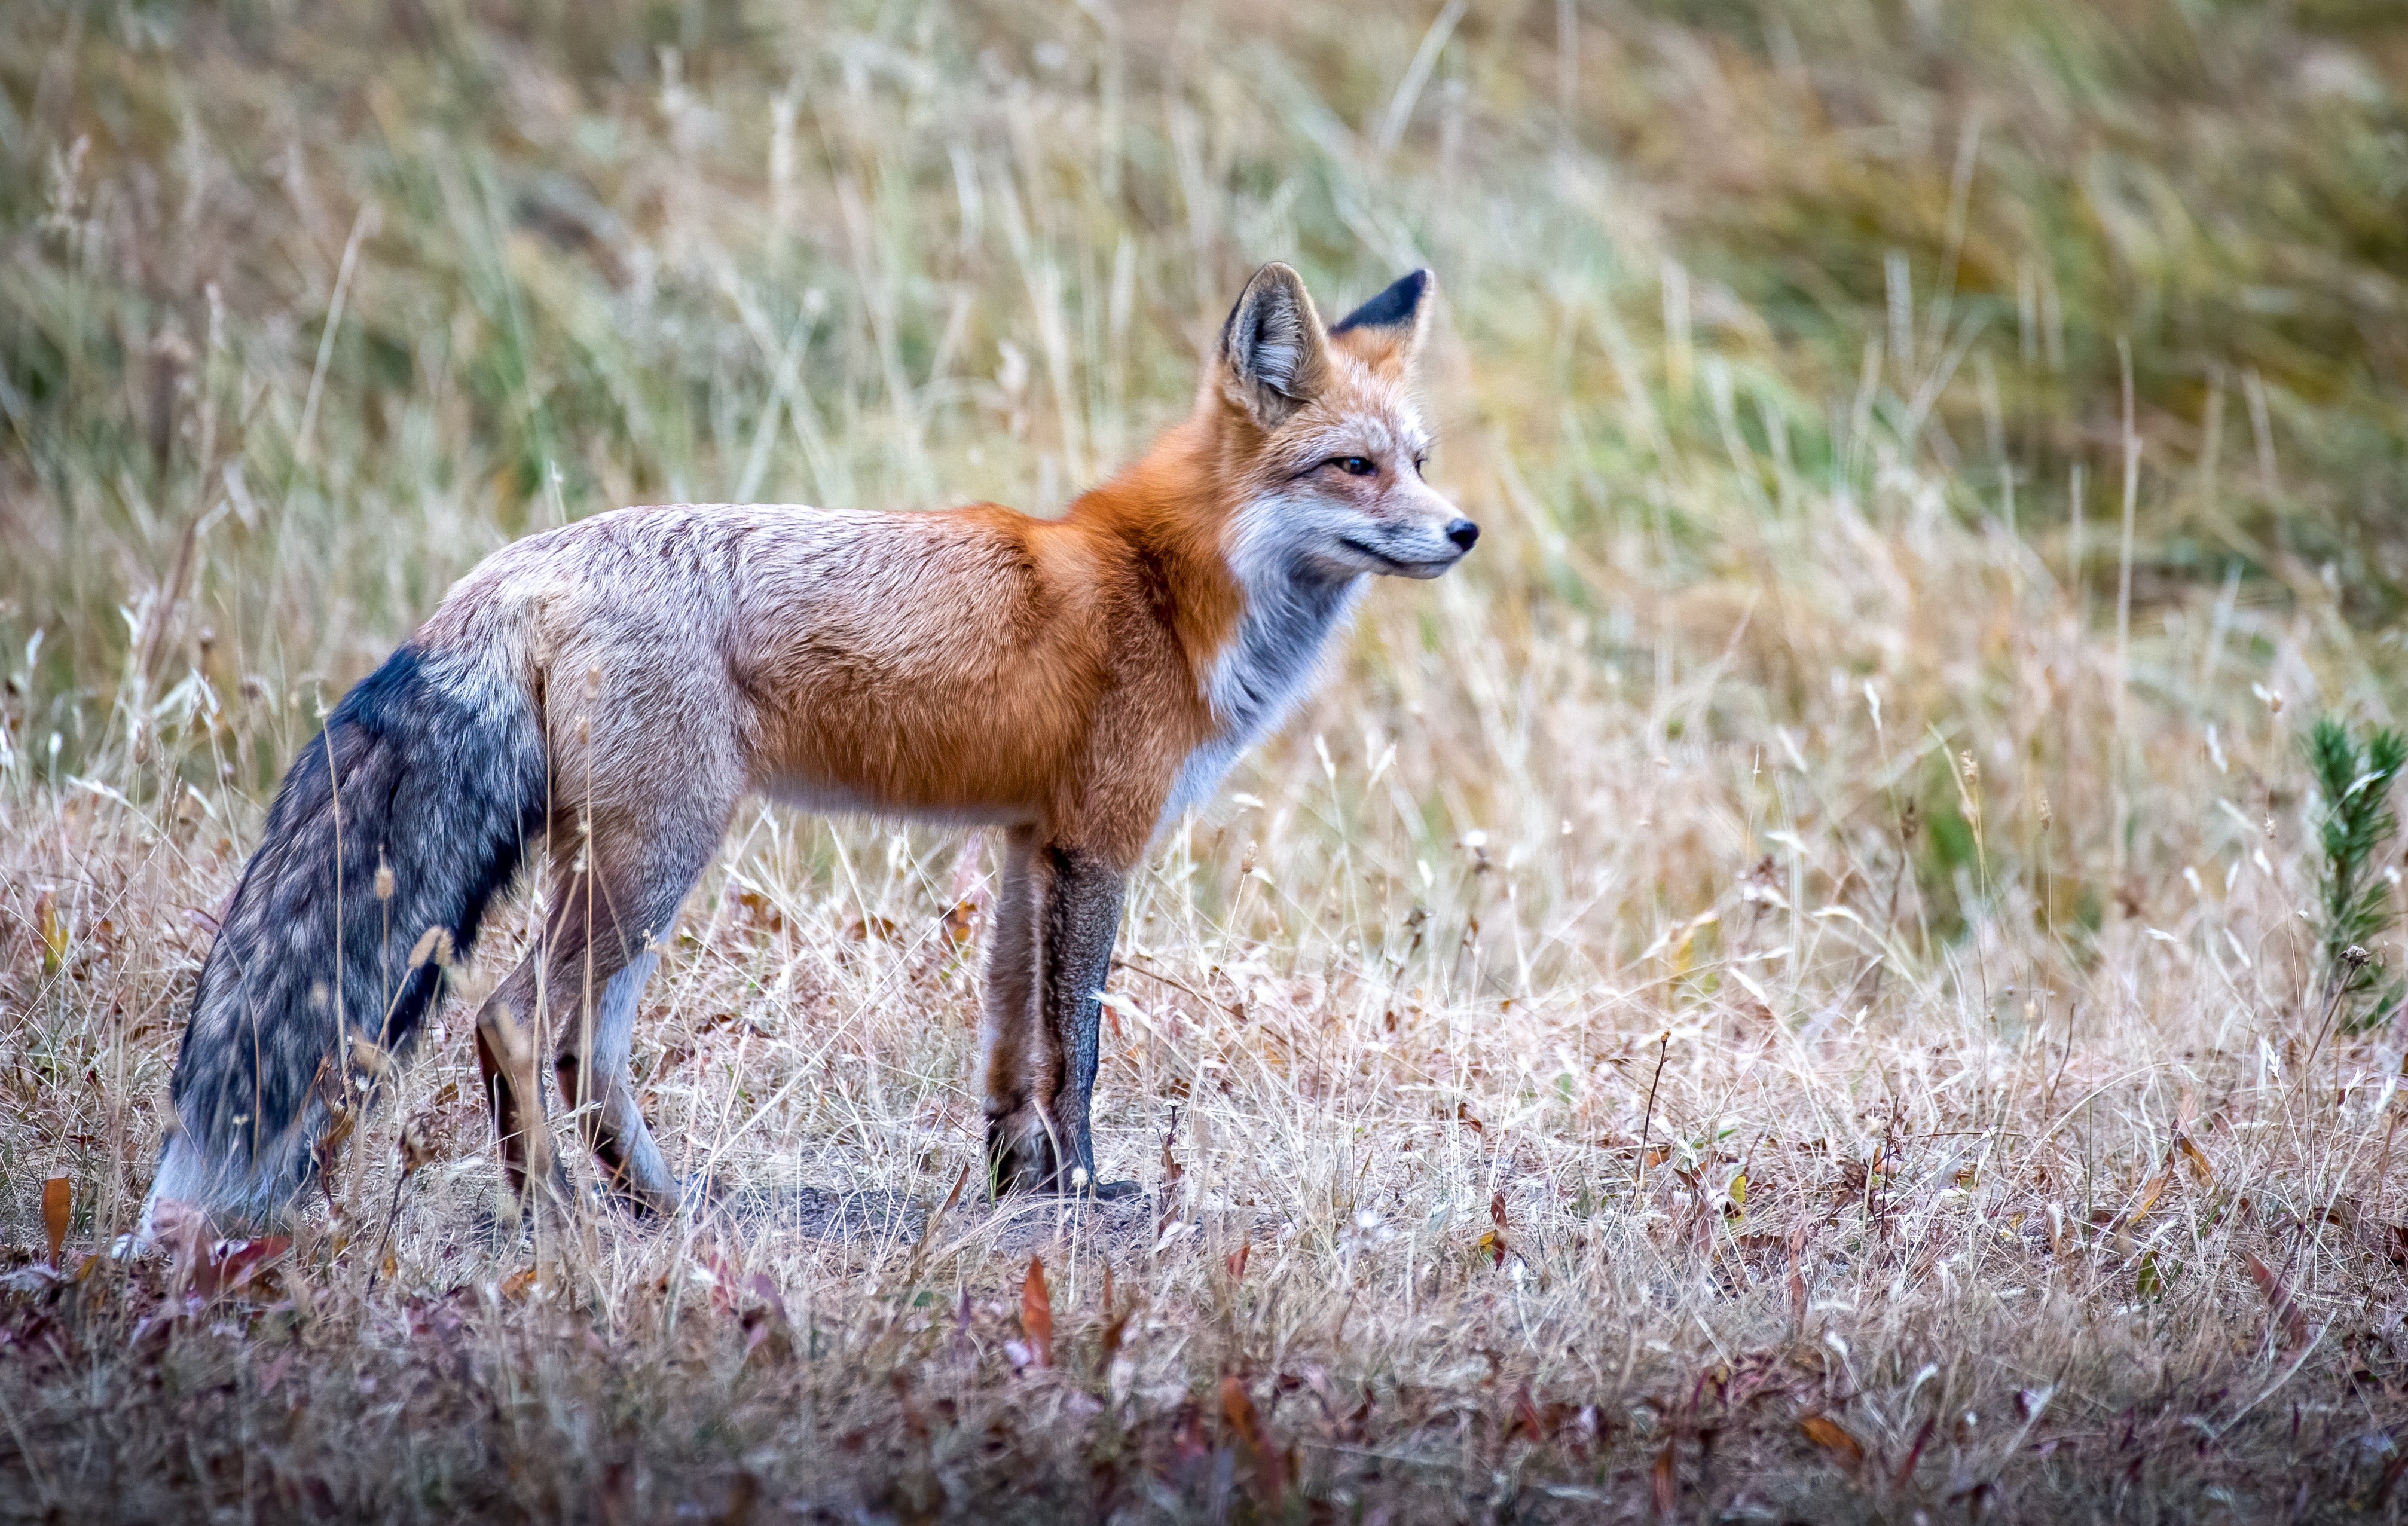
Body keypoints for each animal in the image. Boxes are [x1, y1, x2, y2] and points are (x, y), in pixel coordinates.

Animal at [145, 262, 1474, 1229]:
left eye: (1417, 460)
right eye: (1352, 467)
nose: (1461, 530)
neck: (1162, 586)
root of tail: (515, 564)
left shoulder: (1022, 842)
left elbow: (1010, 1047)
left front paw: (1019, 1186)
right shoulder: (1099, 843)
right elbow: (1081, 1050)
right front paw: (1084, 1189)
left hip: (630, 861)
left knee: (589, 1044)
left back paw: (653, 1202)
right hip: (656, 854)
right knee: (519, 1021)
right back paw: (559, 1214)